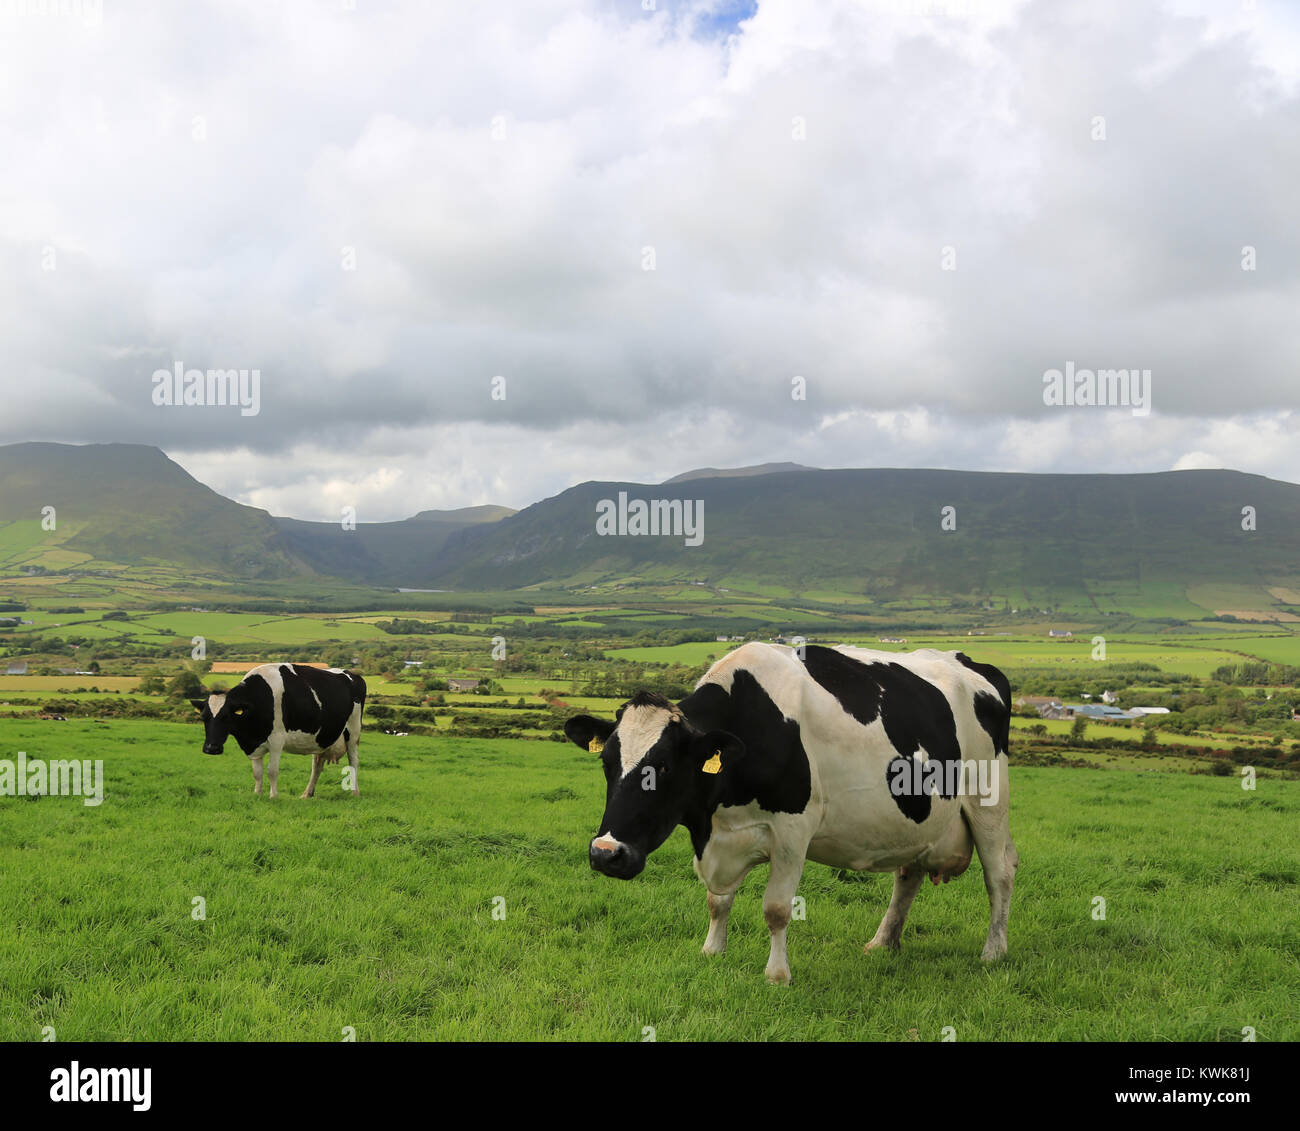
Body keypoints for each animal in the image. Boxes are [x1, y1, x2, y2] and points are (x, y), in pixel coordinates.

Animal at [192, 660, 366, 800]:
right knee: (317, 766)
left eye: (226, 717)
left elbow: (272, 771)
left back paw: (355, 792)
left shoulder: (276, 740)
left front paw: (273, 796)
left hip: (353, 731)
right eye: (203, 717)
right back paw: (307, 794)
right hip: (321, 737)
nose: (211, 748)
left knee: (353, 761)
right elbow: (257, 772)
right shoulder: (253, 743)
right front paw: (257, 794)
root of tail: (352, 674)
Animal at [564, 647, 1019, 982]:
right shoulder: (719, 834)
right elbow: (717, 901)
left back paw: (993, 952)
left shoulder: (792, 832)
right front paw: (712, 951)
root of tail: (971, 663)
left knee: (999, 873)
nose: (605, 853)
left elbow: (777, 908)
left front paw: (777, 974)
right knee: (908, 876)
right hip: (920, 823)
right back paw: (882, 943)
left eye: (662, 767)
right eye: (606, 762)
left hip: (988, 802)